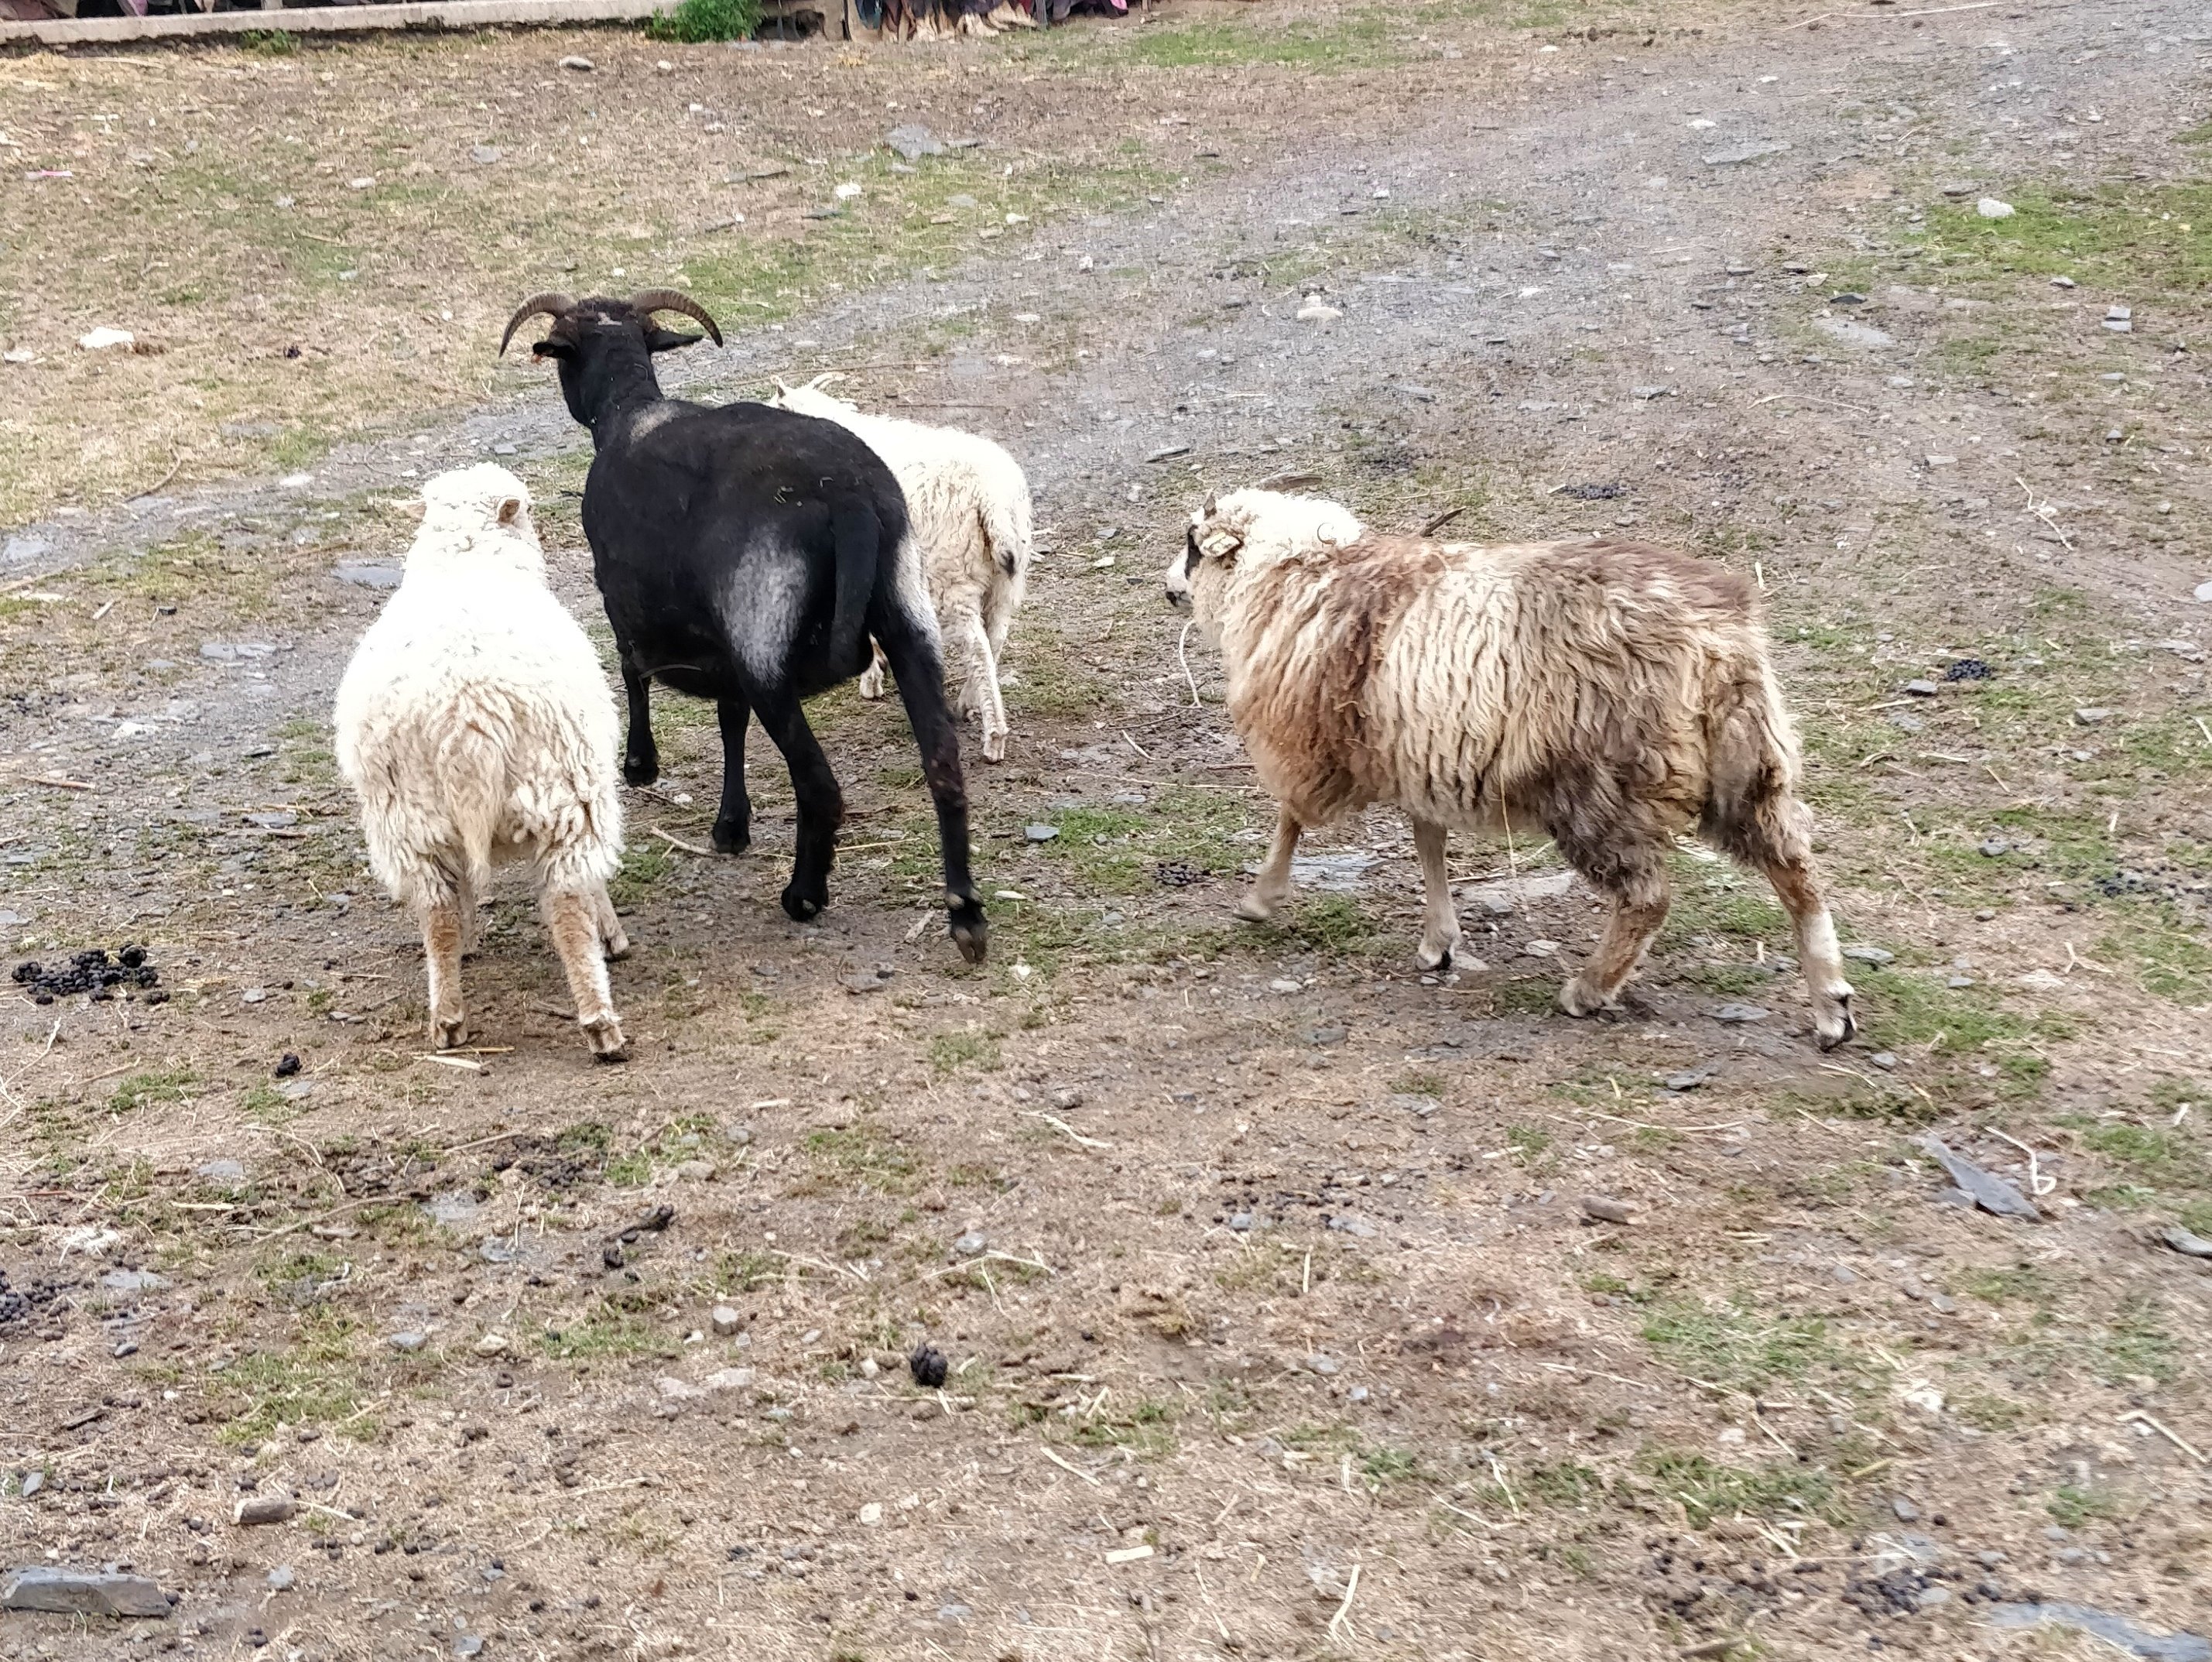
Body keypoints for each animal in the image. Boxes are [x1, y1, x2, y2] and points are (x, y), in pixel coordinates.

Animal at [333, 463, 632, 1061]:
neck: (464, 566)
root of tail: (465, 716)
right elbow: (593, 892)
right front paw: (612, 933)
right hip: (563, 796)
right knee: (567, 905)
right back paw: (600, 1023)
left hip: (409, 817)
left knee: (438, 910)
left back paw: (447, 1016)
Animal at [500, 290, 987, 963]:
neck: (628, 410)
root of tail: (846, 496)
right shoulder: (723, 637)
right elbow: (730, 719)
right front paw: (732, 825)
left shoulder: (622, 596)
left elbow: (633, 672)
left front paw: (641, 765)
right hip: (905, 615)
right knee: (943, 764)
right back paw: (965, 912)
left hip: (768, 640)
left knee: (819, 785)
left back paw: (804, 895)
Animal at [766, 376, 1032, 764]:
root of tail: (992, 497)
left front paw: (871, 674)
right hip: (1005, 578)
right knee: (996, 637)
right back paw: (970, 702)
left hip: (951, 575)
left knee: (979, 648)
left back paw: (993, 736)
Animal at [1164, 488, 1856, 1049]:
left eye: (1193, 544)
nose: (1168, 585)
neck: (1295, 575)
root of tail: (1714, 640)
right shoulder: (1419, 751)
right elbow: (1428, 840)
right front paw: (1439, 940)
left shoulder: (1309, 744)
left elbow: (1290, 818)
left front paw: (1261, 897)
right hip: (1747, 763)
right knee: (1798, 875)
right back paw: (1832, 1006)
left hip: (1599, 785)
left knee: (1648, 897)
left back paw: (1589, 989)